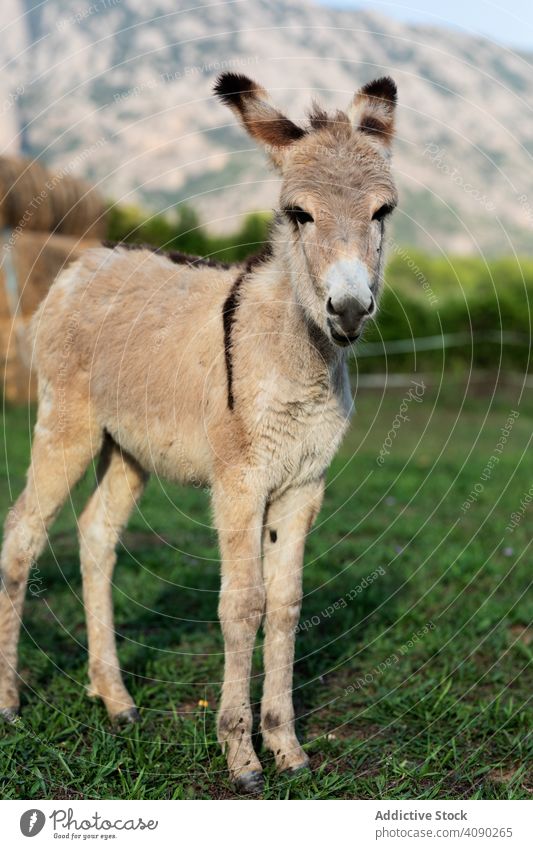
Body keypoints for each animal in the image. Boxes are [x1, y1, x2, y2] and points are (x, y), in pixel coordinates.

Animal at [0, 73, 394, 796]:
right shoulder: (239, 481)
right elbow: (243, 603)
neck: (296, 354)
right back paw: (12, 700)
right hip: (67, 423)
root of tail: (84, 263)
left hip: (128, 446)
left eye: (382, 211)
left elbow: (287, 604)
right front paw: (241, 756)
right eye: (298, 213)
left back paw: (116, 698)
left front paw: (287, 746)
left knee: (96, 535)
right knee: (23, 532)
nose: (349, 310)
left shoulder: (304, 483)